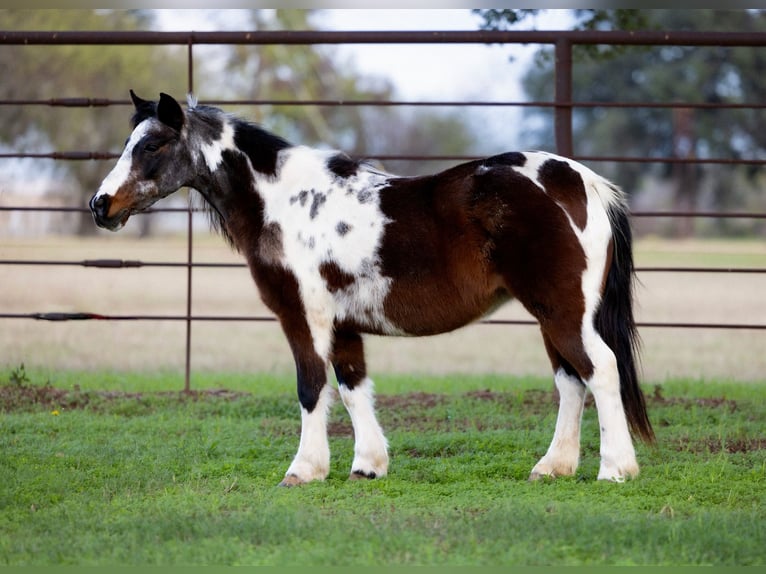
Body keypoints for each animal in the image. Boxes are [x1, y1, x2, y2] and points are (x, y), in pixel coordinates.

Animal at [90, 91, 654, 486]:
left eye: (153, 144)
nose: (100, 205)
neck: (285, 203)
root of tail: (577, 180)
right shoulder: (343, 325)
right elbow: (353, 386)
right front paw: (367, 466)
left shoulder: (303, 315)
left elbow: (312, 387)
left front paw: (303, 470)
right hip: (552, 315)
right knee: (571, 381)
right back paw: (553, 467)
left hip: (561, 310)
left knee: (599, 370)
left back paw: (615, 470)